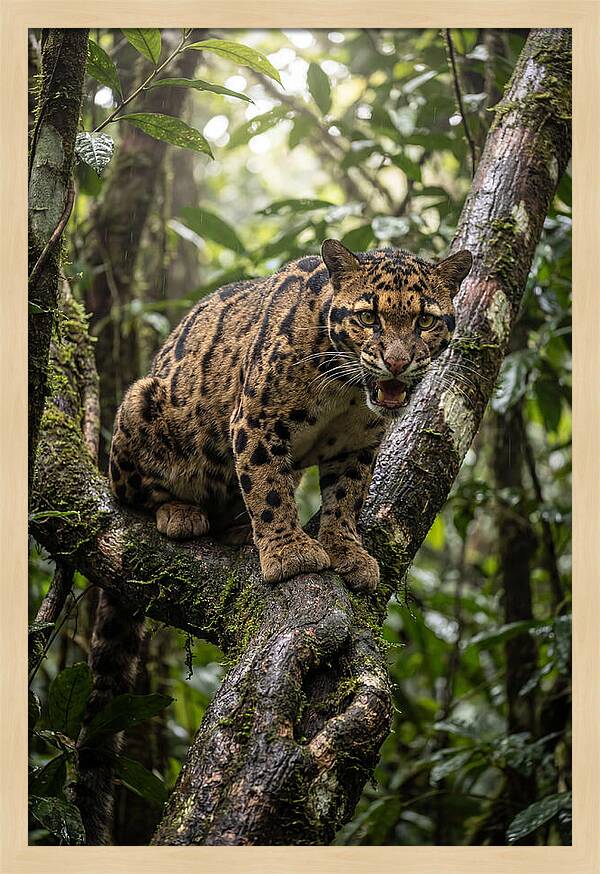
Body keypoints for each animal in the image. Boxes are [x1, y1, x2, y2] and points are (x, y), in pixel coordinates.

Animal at [109, 239, 472, 592]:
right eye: (368, 318)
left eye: (425, 321)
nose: (397, 362)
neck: (346, 391)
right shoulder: (257, 421)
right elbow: (268, 487)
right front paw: (289, 551)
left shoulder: (358, 445)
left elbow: (346, 497)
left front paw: (346, 550)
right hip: (141, 400)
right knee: (133, 494)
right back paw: (181, 512)